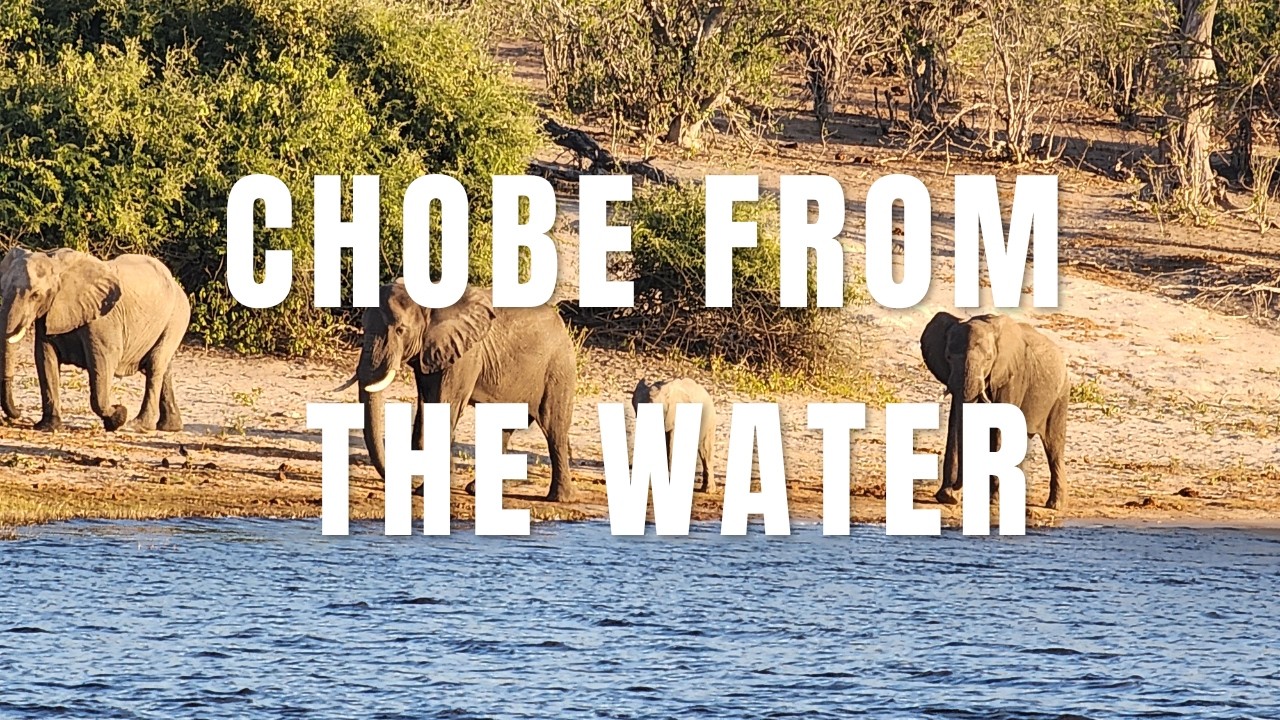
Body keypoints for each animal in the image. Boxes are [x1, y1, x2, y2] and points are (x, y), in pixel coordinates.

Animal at [0, 246, 190, 432]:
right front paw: (48, 427)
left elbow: (103, 362)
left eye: (35, 295)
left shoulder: (102, 320)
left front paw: (118, 416)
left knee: (154, 366)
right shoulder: (49, 313)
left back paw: (138, 426)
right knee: (163, 367)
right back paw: (170, 427)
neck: (55, 262)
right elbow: (45, 358)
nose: (18, 414)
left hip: (176, 317)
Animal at [336, 280, 579, 502]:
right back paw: (476, 491)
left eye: (400, 330)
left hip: (558, 368)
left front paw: (425, 492)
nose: (409, 483)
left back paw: (560, 499)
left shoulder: (465, 355)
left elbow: (445, 404)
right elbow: (425, 406)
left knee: (554, 428)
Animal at [920, 311, 1068, 511]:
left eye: (989, 359)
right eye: (948, 357)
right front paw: (947, 497)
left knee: (1054, 446)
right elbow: (956, 420)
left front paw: (994, 501)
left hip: (1060, 395)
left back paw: (1054, 505)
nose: (955, 490)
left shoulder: (1012, 376)